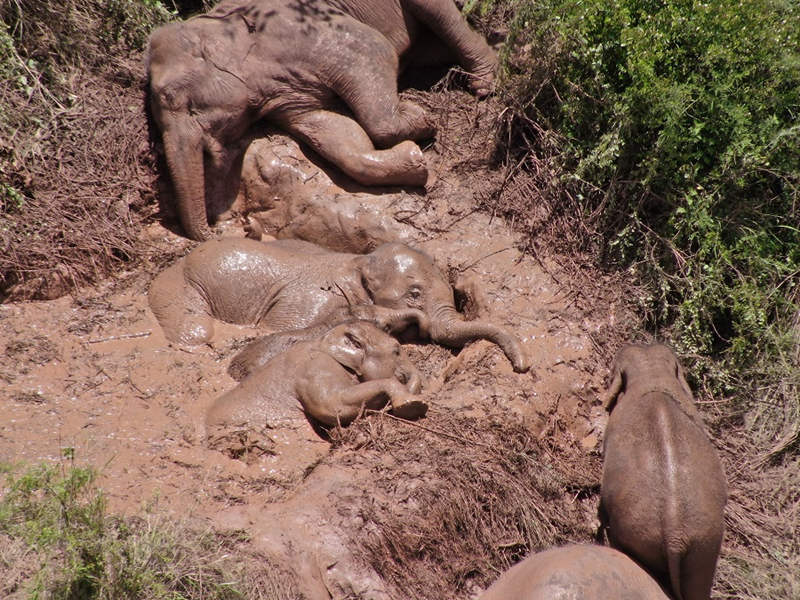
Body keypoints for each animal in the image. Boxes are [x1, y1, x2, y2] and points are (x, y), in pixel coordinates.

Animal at [143, 0, 494, 240]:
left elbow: (373, 49)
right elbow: (333, 133)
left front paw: (422, 117)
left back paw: (485, 84)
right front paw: (415, 160)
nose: (224, 228)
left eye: (177, 100)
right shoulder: (284, 94)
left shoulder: (305, 32)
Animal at [148, 238, 532, 370]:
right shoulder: (309, 301)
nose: (523, 365)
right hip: (175, 290)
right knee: (195, 329)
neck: (357, 263)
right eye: (415, 293)